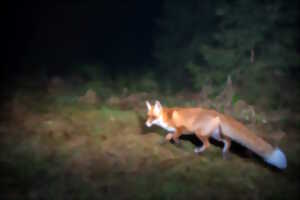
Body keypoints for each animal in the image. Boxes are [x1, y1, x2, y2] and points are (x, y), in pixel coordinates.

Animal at [144, 101, 288, 170]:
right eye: (147, 116)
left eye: (153, 117)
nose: (146, 124)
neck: (167, 117)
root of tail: (217, 113)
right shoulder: (173, 130)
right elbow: (168, 137)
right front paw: (162, 143)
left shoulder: (181, 128)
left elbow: (174, 137)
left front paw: (179, 145)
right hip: (216, 135)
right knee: (228, 141)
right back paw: (224, 154)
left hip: (200, 133)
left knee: (208, 144)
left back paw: (199, 151)